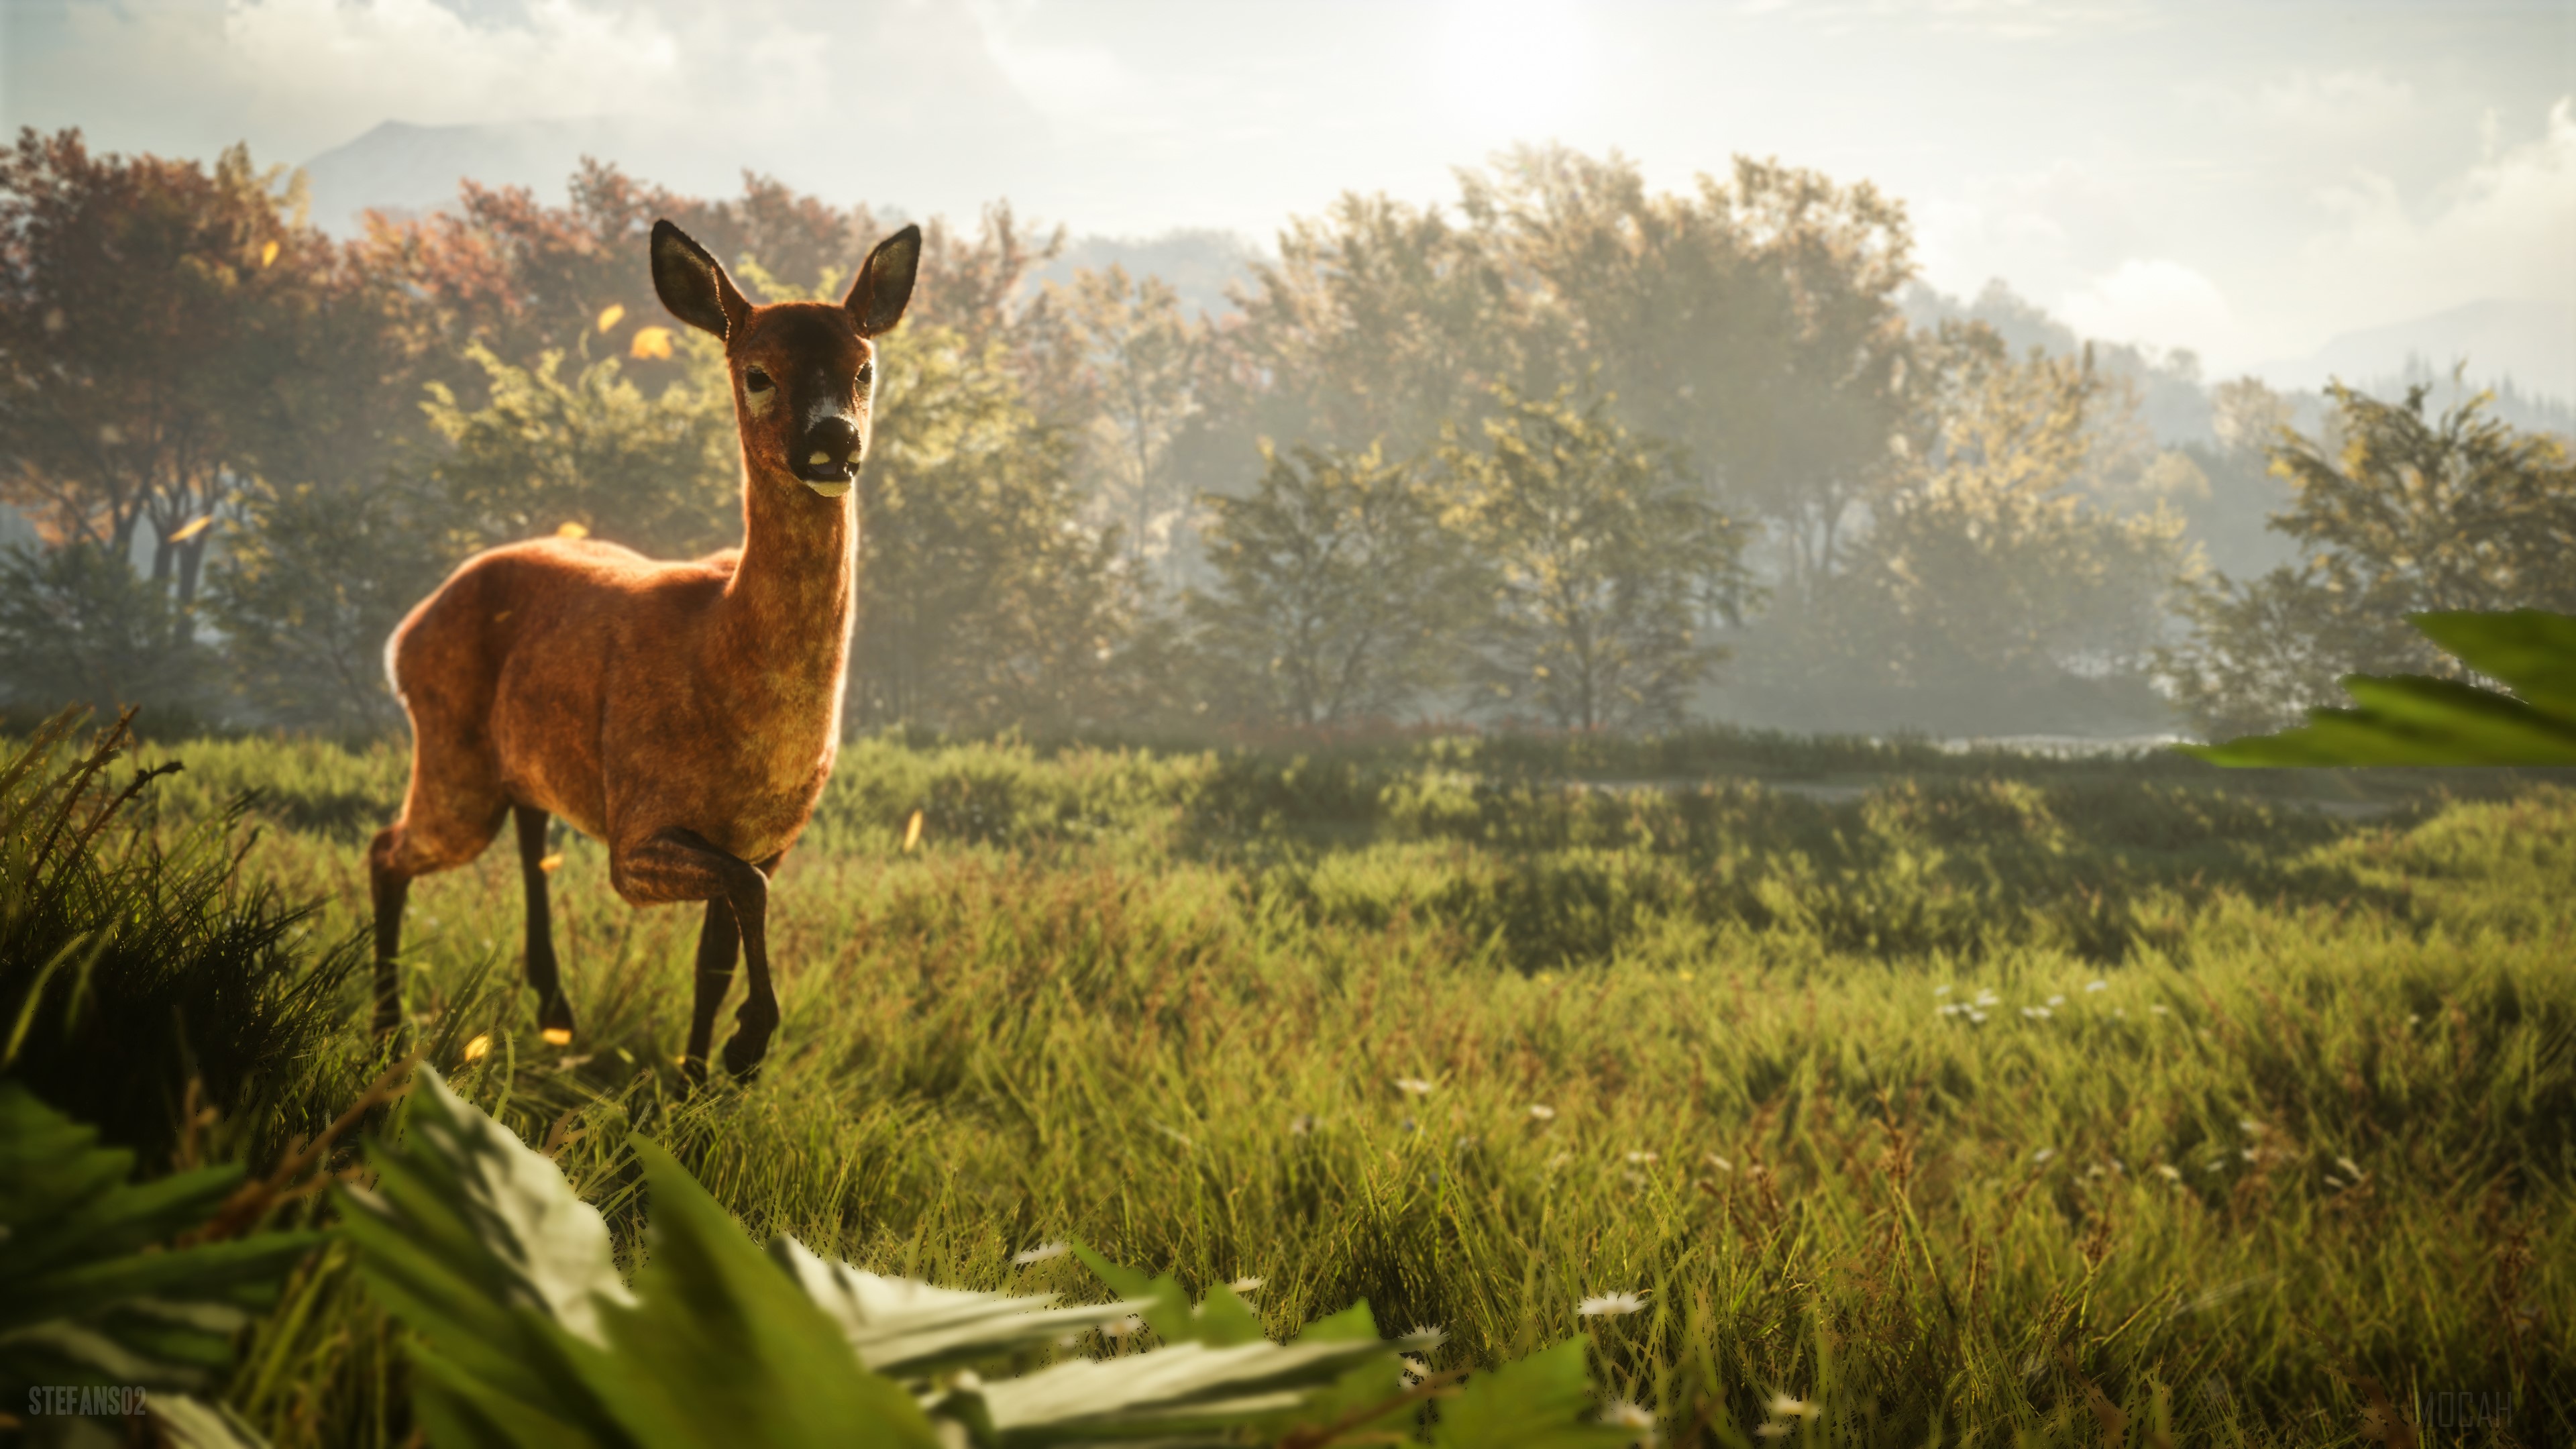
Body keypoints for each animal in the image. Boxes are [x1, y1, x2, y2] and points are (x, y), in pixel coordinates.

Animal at [367, 218, 921, 1081]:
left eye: (865, 368)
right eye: (757, 373)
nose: (835, 439)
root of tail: (405, 633)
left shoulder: (769, 840)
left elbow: (716, 956)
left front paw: (698, 1083)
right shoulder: (637, 829)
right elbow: (743, 898)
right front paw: (747, 1046)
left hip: (513, 761)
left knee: (526, 832)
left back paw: (554, 1016)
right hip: (452, 759)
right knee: (385, 848)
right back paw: (388, 1033)